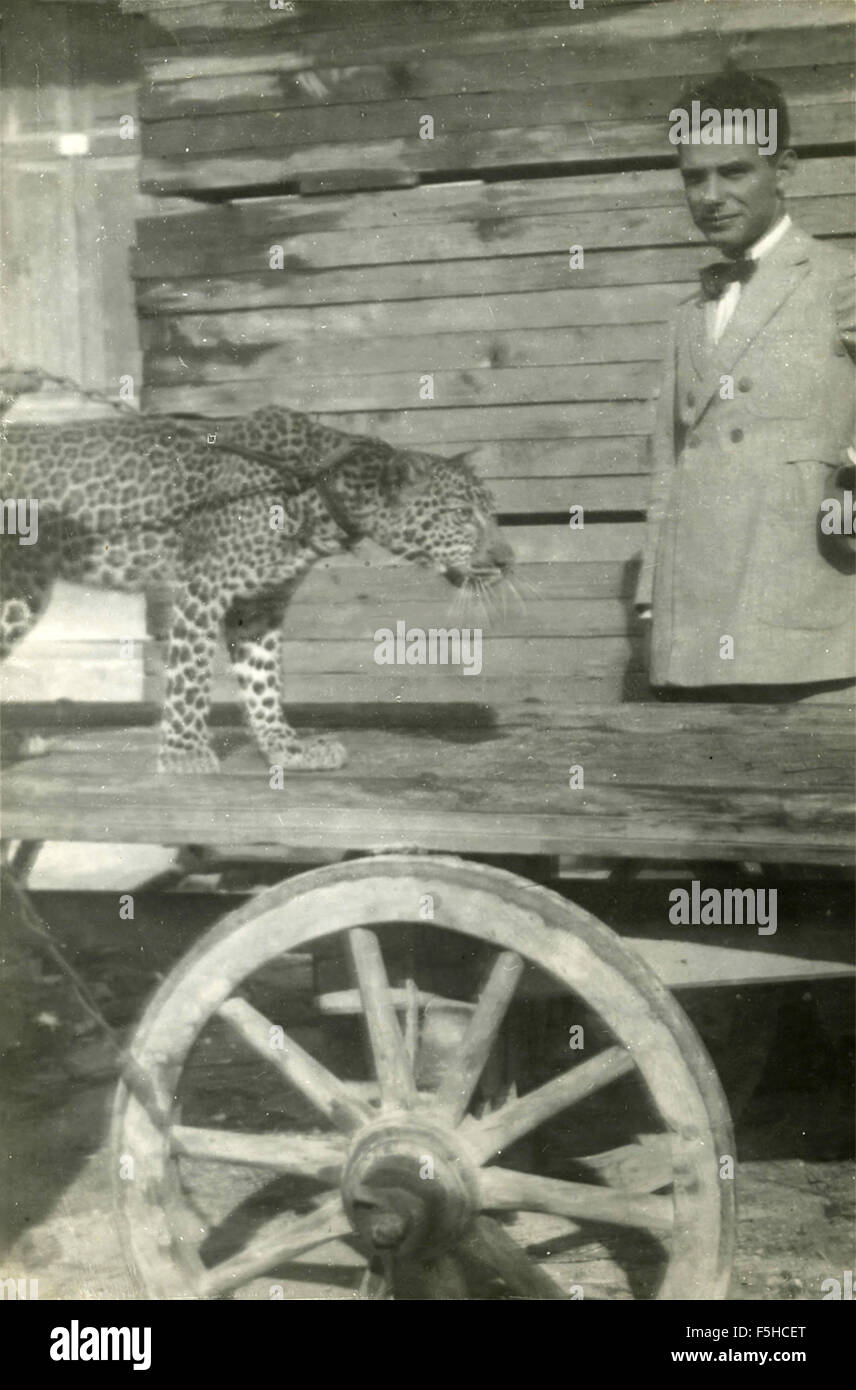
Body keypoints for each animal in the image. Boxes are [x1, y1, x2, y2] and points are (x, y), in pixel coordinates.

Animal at [0, 380, 511, 772]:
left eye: (490, 512)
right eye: (462, 515)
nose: (509, 559)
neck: (318, 487)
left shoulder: (260, 602)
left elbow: (263, 679)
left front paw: (289, 749)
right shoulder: (203, 586)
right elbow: (190, 674)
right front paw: (184, 754)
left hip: (21, 590)